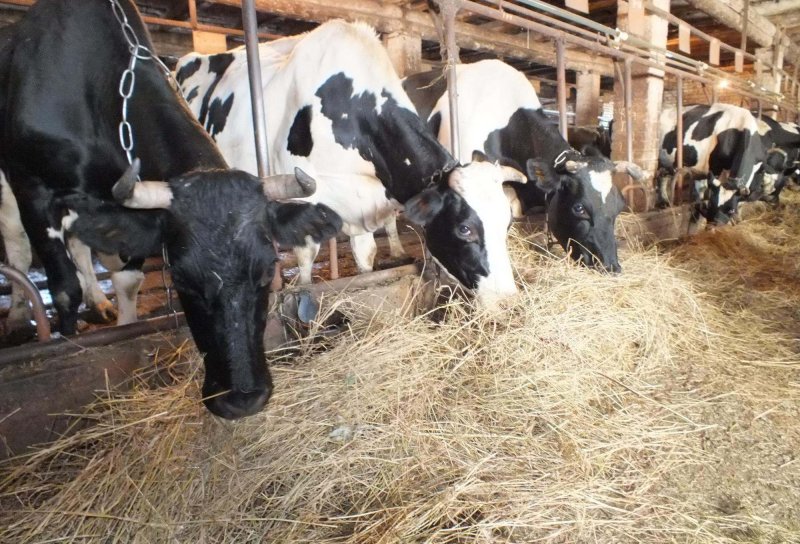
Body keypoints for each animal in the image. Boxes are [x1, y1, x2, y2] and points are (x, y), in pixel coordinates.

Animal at [0, 0, 340, 418]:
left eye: (267, 272)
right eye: (181, 279)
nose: (242, 399)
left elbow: (127, 280)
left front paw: (124, 319)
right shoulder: (31, 186)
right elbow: (64, 290)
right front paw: (66, 339)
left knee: (79, 245)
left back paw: (100, 304)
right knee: (18, 246)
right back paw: (20, 315)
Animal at [175, 21, 528, 308]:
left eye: (507, 222)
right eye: (465, 229)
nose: (508, 302)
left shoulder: (368, 202)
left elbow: (366, 255)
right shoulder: (303, 196)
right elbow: (306, 256)